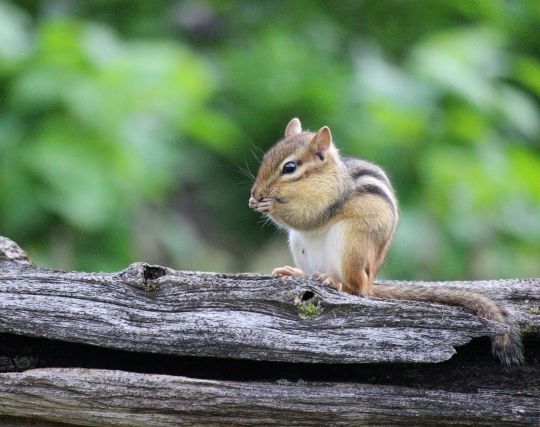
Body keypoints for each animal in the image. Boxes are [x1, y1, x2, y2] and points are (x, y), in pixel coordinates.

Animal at [249, 118, 524, 368]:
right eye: (266, 158)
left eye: (290, 167)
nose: (256, 193)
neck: (324, 178)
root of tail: (371, 279)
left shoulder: (328, 201)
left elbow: (306, 217)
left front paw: (270, 205)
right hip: (299, 244)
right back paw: (297, 272)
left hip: (348, 243)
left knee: (356, 288)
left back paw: (334, 281)